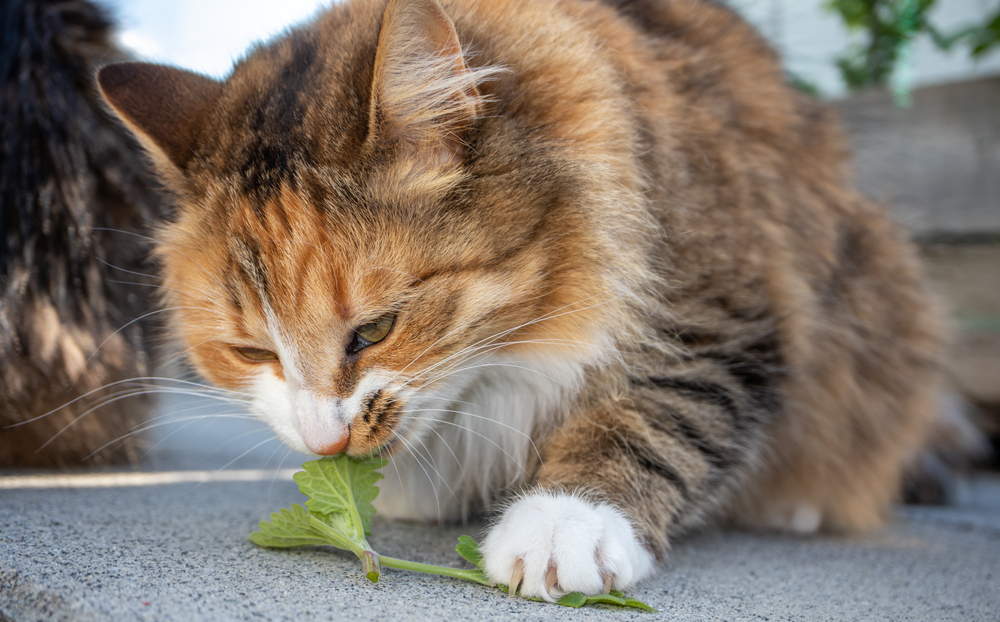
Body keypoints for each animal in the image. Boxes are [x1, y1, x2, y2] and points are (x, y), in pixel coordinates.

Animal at [99, 0, 944, 604]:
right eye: (252, 352)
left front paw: (563, 526)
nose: (325, 445)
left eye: (375, 330)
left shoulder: (720, 312)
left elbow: (650, 419)